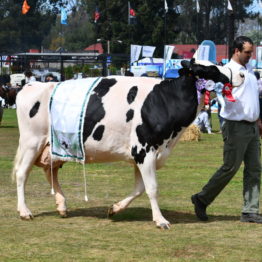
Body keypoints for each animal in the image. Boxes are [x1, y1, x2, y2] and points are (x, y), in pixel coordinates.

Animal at [12, 60, 245, 228]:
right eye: (211, 69)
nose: (242, 74)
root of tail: (33, 84)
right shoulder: (145, 151)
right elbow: (152, 188)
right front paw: (160, 220)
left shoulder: (141, 156)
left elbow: (139, 189)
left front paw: (114, 208)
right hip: (32, 141)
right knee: (22, 174)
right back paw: (24, 211)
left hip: (55, 147)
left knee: (50, 171)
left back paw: (61, 206)